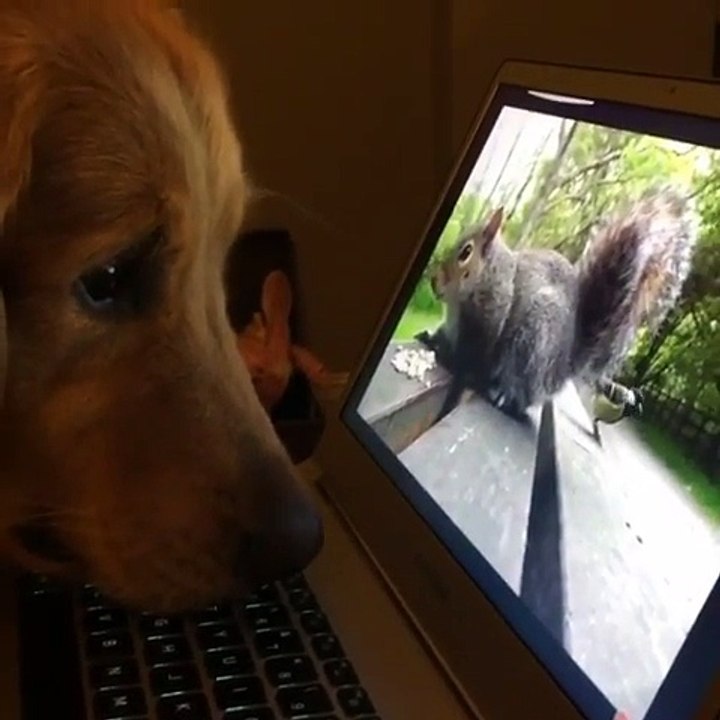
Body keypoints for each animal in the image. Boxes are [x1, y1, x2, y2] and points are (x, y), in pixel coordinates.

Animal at [416, 187, 697, 419]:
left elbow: (472, 356)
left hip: (535, 337)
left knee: (521, 390)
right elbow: (445, 336)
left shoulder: (489, 322)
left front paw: (450, 357)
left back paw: (505, 394)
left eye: (466, 252)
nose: (433, 280)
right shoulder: (453, 325)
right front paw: (430, 338)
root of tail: (563, 367)